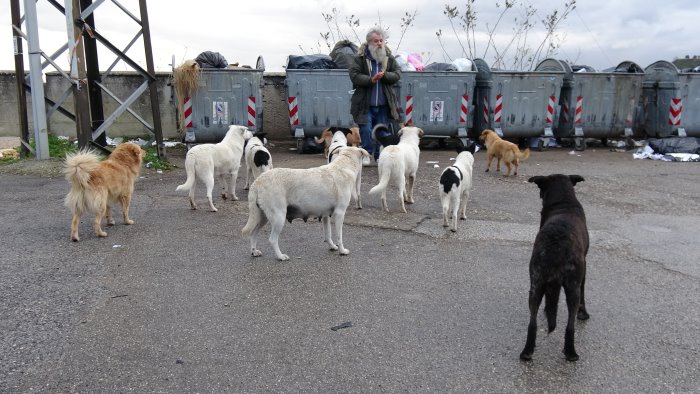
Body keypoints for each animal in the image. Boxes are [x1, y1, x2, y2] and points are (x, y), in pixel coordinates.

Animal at [241, 146, 370, 260]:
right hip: (278, 217)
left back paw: (254, 252)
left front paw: (332, 246)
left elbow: (328, 234)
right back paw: (280, 256)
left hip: (262, 217)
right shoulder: (340, 213)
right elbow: (339, 236)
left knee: (253, 233)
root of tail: (258, 181)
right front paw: (342, 251)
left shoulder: (325, 216)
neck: (343, 166)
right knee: (272, 239)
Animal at [520, 174, 592, 362]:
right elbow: (584, 292)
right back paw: (571, 353)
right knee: (570, 325)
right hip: (572, 286)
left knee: (532, 322)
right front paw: (583, 313)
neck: (563, 201)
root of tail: (557, 241)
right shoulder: (584, 268)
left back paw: (527, 352)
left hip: (536, 283)